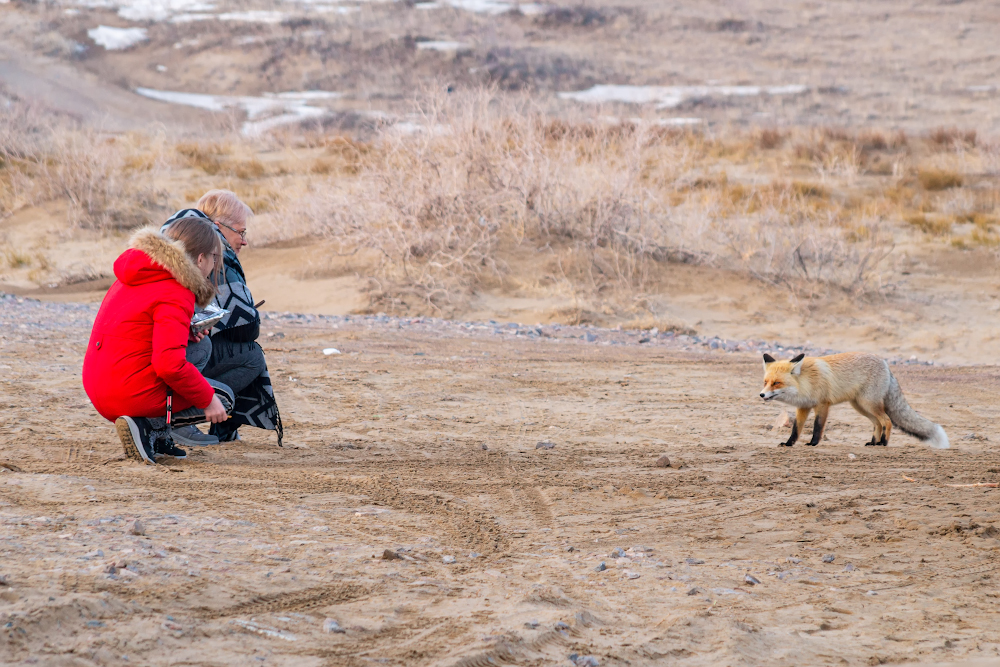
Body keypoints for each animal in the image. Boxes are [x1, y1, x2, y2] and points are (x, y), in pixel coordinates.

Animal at [760, 352, 948, 452]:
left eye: (777, 383)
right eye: (765, 382)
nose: (761, 395)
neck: (807, 381)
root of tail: (886, 364)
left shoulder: (822, 404)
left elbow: (817, 427)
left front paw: (813, 443)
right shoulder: (803, 407)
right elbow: (795, 429)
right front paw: (788, 443)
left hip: (868, 404)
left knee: (887, 420)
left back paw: (883, 443)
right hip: (860, 406)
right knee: (877, 423)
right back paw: (873, 442)